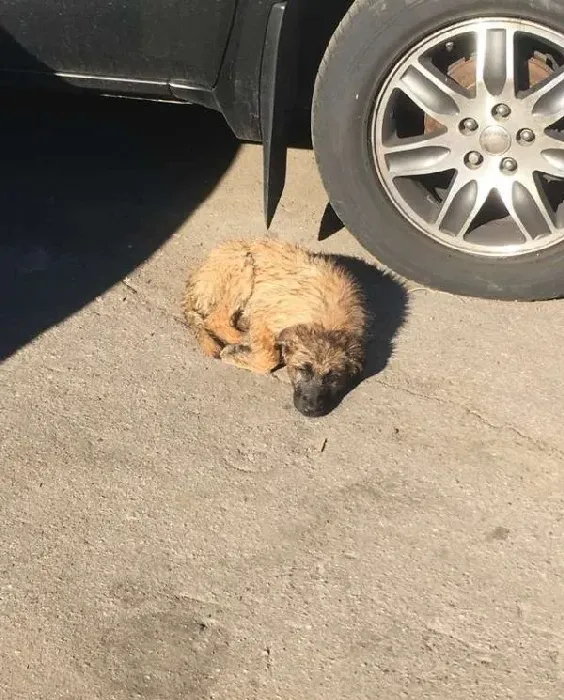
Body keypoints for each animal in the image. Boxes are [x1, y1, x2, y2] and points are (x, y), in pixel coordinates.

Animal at [181, 238, 366, 418]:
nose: (310, 410)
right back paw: (242, 338)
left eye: (333, 378)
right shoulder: (263, 315)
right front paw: (236, 353)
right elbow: (269, 358)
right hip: (243, 265)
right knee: (215, 320)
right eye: (303, 370)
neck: (327, 323)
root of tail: (193, 281)